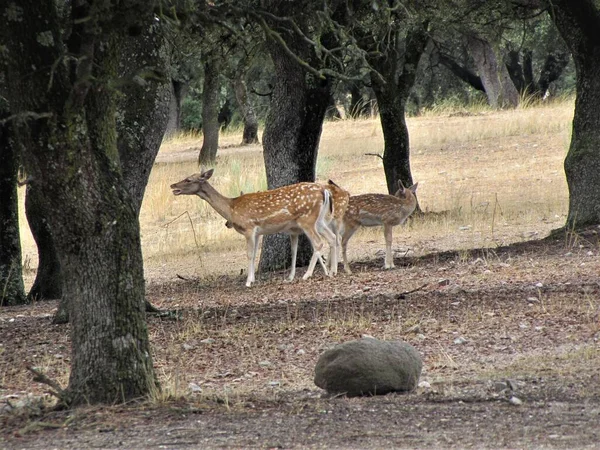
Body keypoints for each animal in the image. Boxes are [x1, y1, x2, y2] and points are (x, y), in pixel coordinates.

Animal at [170, 169, 338, 288]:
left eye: (188, 179)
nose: (172, 185)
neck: (231, 208)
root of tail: (324, 191)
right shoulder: (257, 232)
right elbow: (255, 253)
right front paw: (253, 279)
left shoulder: (249, 228)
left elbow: (249, 254)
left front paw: (248, 282)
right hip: (319, 220)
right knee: (332, 237)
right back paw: (332, 272)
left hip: (307, 219)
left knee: (319, 242)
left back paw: (307, 275)